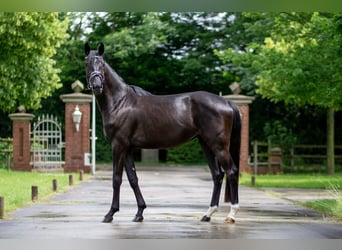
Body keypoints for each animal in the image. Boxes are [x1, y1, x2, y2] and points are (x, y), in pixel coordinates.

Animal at [84, 43, 242, 225]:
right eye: (87, 62)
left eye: (102, 64)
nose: (97, 85)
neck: (120, 103)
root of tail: (227, 102)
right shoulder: (128, 148)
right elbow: (133, 179)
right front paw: (139, 213)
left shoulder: (118, 145)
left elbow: (116, 179)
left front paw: (110, 213)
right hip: (206, 144)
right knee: (217, 175)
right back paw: (207, 214)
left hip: (219, 147)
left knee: (231, 172)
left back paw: (231, 214)